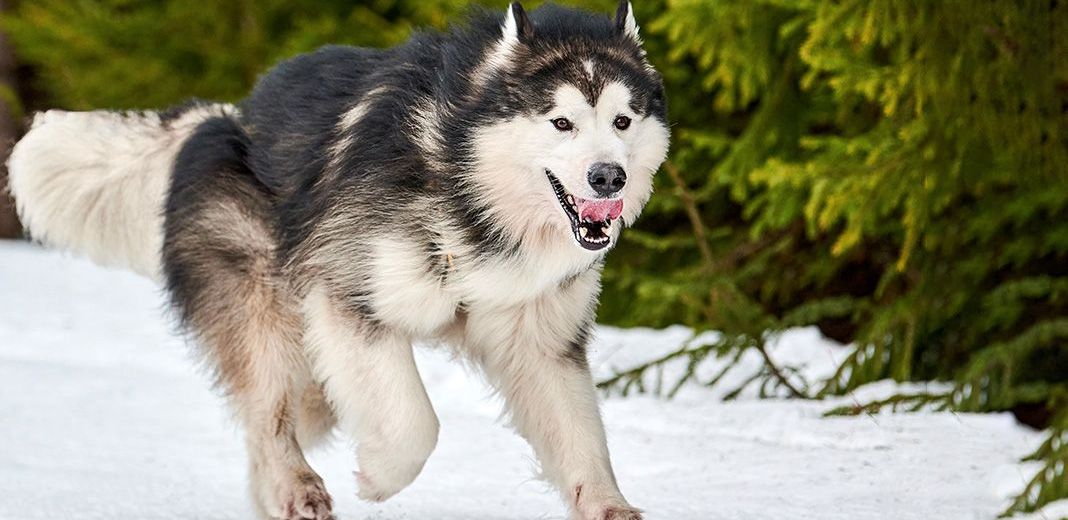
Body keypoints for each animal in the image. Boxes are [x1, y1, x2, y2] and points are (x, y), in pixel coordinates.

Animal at [8, 2, 670, 518]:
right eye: (561, 122)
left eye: (622, 120)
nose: (608, 176)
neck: (464, 184)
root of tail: (225, 116)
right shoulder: (348, 297)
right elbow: (413, 425)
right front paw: (378, 478)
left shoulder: (540, 339)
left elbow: (582, 442)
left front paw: (610, 507)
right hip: (266, 305)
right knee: (270, 415)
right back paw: (296, 488)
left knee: (289, 414)